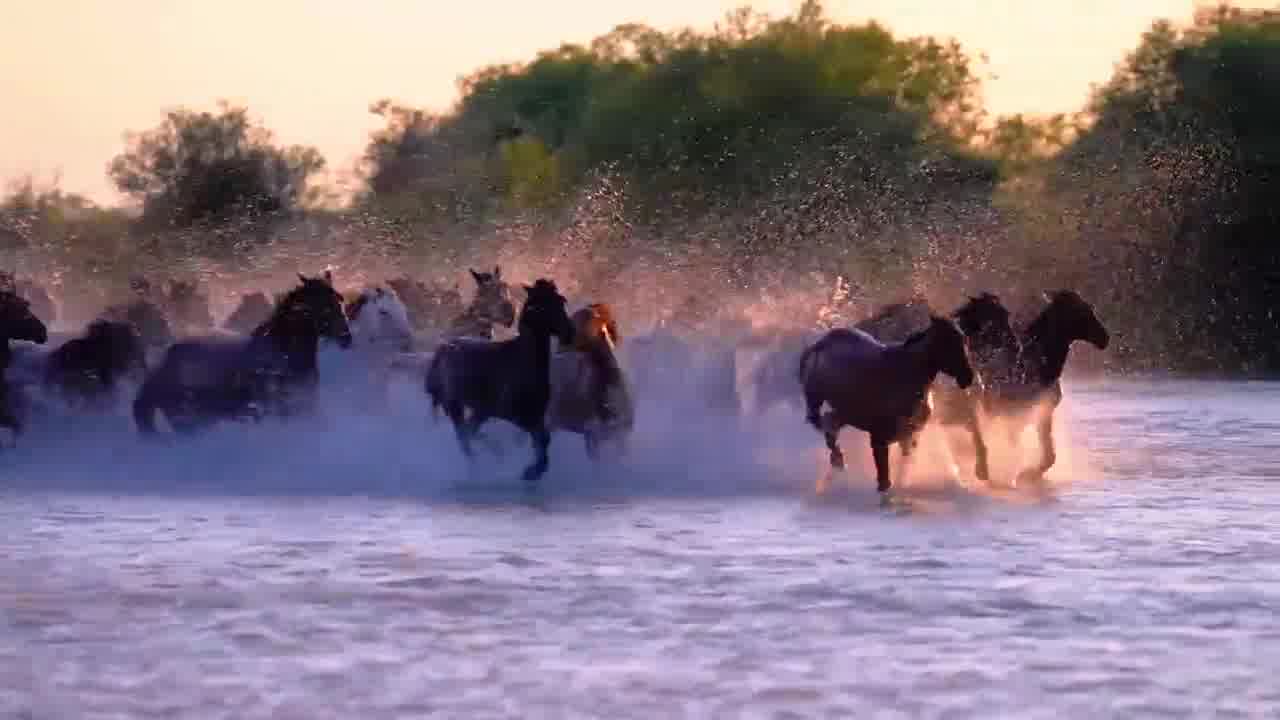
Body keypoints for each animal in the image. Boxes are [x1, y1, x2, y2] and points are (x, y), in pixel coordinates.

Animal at [133, 271, 353, 435]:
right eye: (322, 305)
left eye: (339, 299)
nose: (346, 337)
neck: (281, 355)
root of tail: (162, 368)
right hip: (190, 422)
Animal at [424, 278, 576, 484]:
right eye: (541, 306)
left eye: (560, 301)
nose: (569, 333)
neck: (523, 360)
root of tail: (442, 349)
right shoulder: (518, 416)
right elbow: (542, 440)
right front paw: (530, 472)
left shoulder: (535, 415)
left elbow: (544, 440)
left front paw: (532, 471)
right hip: (456, 405)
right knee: (464, 437)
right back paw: (478, 466)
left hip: (479, 410)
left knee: (469, 433)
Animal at [793, 315, 972, 491]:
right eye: (947, 342)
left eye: (963, 339)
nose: (968, 378)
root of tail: (818, 344)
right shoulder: (879, 437)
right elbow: (884, 480)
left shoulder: (909, 435)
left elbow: (903, 466)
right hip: (820, 402)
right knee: (826, 424)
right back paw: (837, 462)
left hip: (846, 411)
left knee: (830, 423)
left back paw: (838, 462)